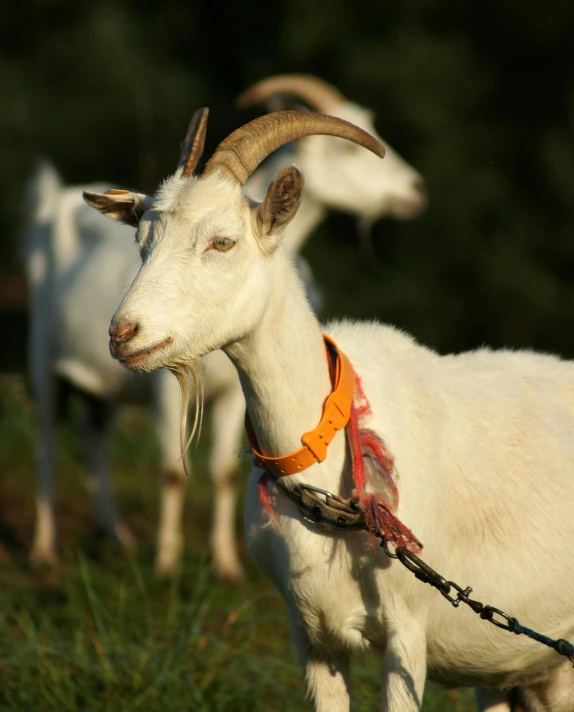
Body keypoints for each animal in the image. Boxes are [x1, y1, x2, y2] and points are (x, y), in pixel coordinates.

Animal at [85, 107, 574, 712]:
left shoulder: (407, 634)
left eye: (222, 242)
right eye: (141, 242)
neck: (330, 452)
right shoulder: (310, 634)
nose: (123, 334)